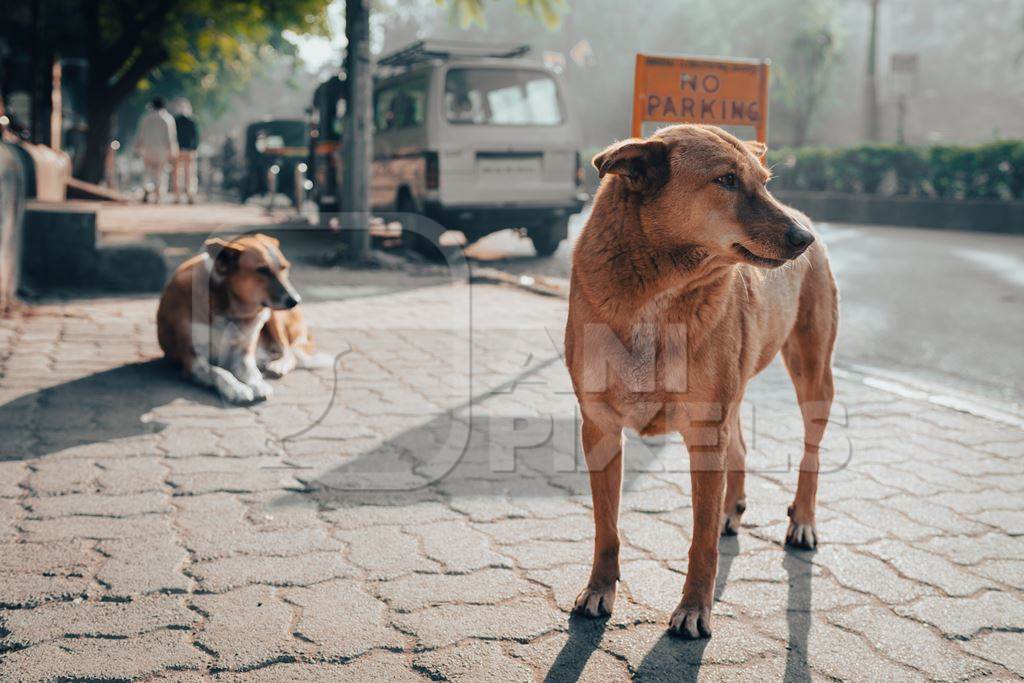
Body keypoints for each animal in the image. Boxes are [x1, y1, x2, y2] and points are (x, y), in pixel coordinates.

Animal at [155, 232, 325, 403]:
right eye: (262, 270)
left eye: (284, 267)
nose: (296, 300)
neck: (229, 311)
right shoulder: (193, 359)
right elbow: (219, 371)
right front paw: (237, 389)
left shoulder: (243, 353)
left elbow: (251, 372)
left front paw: (258, 384)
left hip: (272, 316)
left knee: (289, 352)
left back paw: (278, 365)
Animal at [569, 124, 839, 643]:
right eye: (727, 180)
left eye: (764, 182)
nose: (804, 239)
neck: (658, 291)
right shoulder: (599, 428)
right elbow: (605, 527)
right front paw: (599, 589)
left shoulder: (705, 433)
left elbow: (700, 543)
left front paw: (694, 608)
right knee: (739, 449)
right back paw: (731, 509)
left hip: (813, 374)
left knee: (811, 454)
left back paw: (802, 521)